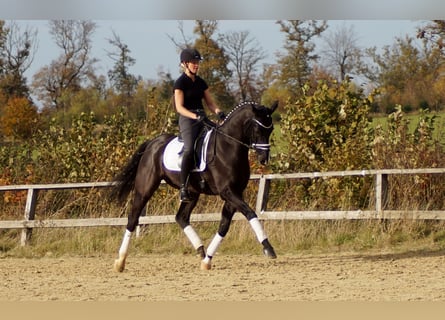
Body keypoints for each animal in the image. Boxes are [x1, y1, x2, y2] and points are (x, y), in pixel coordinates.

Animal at [110, 101, 278, 272]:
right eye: (257, 128)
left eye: (271, 129)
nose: (264, 159)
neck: (228, 146)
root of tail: (153, 143)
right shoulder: (228, 192)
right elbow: (250, 213)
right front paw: (268, 248)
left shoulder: (235, 194)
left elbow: (224, 226)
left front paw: (207, 260)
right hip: (145, 187)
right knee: (133, 217)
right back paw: (120, 261)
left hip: (192, 192)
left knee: (181, 217)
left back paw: (201, 251)